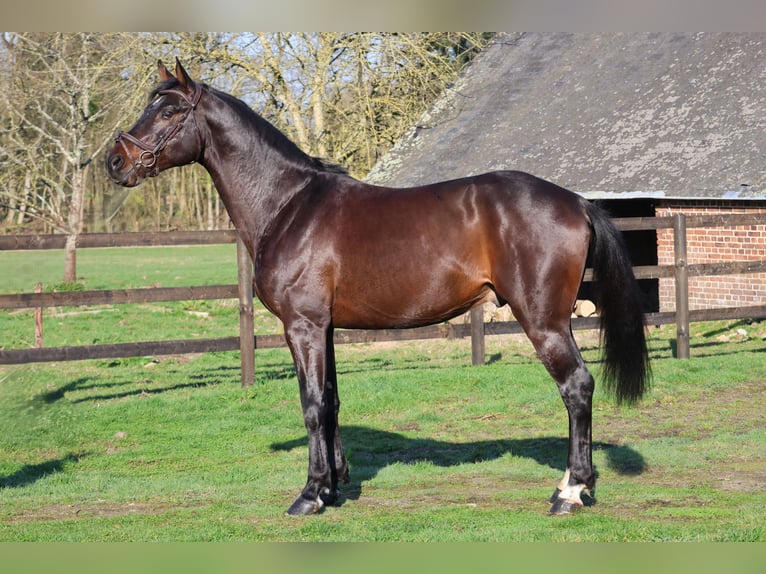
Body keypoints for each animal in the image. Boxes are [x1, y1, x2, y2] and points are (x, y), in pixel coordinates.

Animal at [106, 59, 650, 516]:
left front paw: (310, 495)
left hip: (544, 321)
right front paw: (333, 485)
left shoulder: (302, 327)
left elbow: (311, 406)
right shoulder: (324, 328)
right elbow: (330, 401)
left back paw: (570, 491)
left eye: (169, 110)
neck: (288, 205)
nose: (115, 161)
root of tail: (576, 201)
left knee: (577, 387)